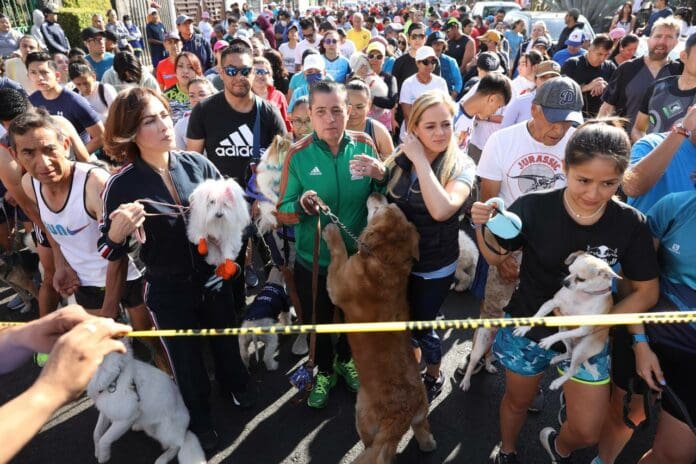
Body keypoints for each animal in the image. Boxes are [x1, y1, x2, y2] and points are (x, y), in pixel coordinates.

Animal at [322, 193, 436, 464]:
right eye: (390, 205)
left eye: (381, 207)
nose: (378, 193)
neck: (387, 262)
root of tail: (399, 418)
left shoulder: (336, 283)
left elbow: (338, 252)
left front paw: (332, 231)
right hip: (422, 410)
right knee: (423, 429)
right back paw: (428, 445)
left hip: (361, 415)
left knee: (370, 444)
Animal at [512, 252, 620, 390]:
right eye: (569, 270)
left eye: (581, 279)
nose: (565, 282)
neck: (582, 295)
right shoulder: (551, 304)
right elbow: (537, 316)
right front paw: (523, 328)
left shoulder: (583, 329)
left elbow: (557, 336)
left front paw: (548, 340)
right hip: (566, 337)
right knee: (569, 352)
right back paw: (558, 358)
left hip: (581, 349)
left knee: (574, 369)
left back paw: (557, 382)